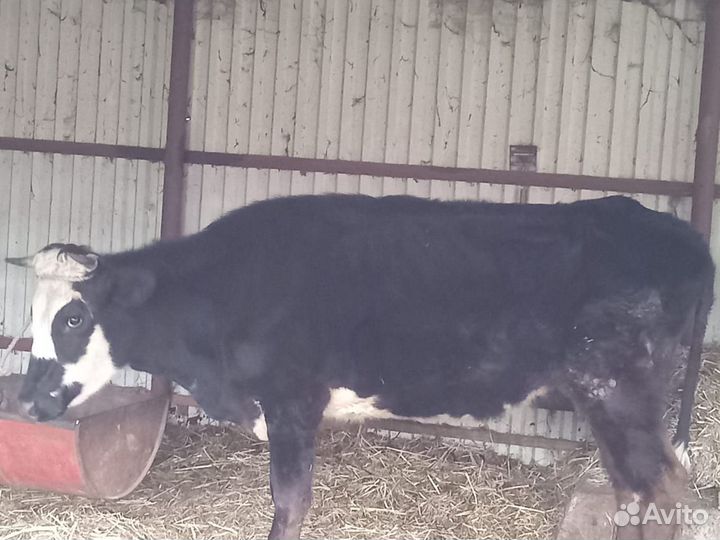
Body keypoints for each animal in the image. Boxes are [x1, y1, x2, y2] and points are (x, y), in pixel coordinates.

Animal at [6, 194, 714, 540]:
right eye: (33, 313)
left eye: (72, 319)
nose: (27, 402)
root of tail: (679, 234)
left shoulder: (292, 402)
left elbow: (291, 504)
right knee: (634, 494)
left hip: (619, 389)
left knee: (661, 491)